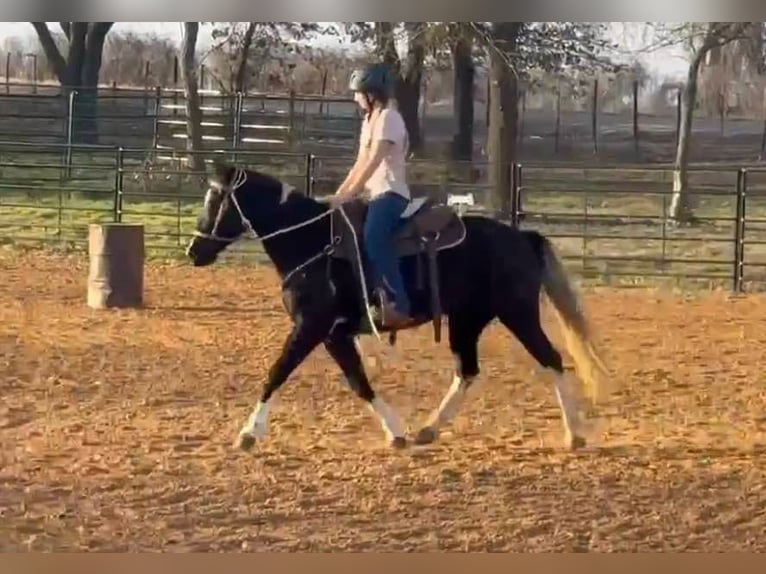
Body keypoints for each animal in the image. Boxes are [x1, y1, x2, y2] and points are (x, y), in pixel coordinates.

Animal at [186, 161, 612, 450]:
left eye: (217, 199)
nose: (194, 252)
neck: (312, 241)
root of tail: (522, 236)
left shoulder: (311, 326)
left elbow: (277, 372)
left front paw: (248, 432)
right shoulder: (334, 334)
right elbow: (359, 381)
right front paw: (396, 432)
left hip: (518, 313)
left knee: (551, 359)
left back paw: (574, 434)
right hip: (467, 319)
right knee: (467, 370)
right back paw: (429, 428)